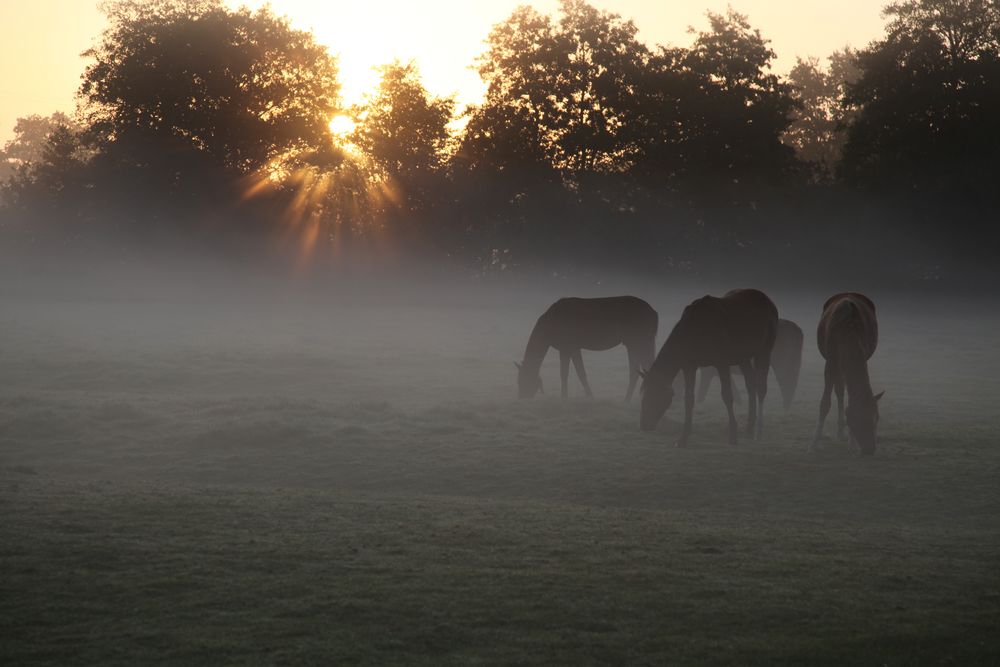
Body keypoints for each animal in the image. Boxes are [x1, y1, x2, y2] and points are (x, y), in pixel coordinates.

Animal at [516, 298, 656, 402]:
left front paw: (571, 397)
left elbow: (574, 373)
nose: (521, 397)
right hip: (634, 343)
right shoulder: (568, 348)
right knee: (639, 370)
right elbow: (572, 373)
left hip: (640, 341)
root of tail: (655, 313)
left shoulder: (570, 346)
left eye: (523, 379)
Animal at [640, 288, 780, 448]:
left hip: (764, 352)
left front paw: (733, 436)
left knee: (761, 388)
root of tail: (768, 300)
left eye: (655, 394)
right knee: (751, 384)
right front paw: (683, 437)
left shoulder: (722, 364)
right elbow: (689, 399)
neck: (695, 330)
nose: (644, 425)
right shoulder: (689, 366)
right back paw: (749, 429)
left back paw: (758, 432)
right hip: (743, 358)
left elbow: (727, 395)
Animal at [812, 290, 884, 454]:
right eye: (857, 420)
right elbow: (825, 403)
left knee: (841, 387)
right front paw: (814, 444)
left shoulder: (864, 354)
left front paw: (852, 444)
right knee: (839, 389)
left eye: (876, 418)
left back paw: (841, 433)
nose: (870, 450)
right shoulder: (830, 361)